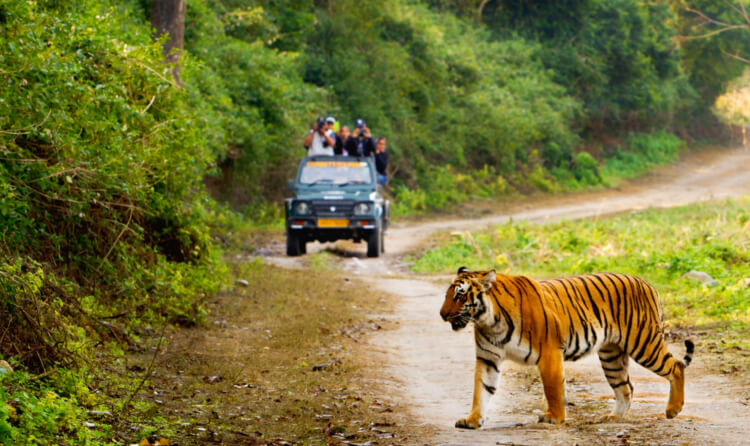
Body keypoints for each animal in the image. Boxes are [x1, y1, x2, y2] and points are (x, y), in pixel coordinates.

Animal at [440, 266, 700, 426]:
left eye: (460, 296)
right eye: (448, 294)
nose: (442, 315)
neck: (489, 320)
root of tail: (648, 284)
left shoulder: (549, 353)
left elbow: (553, 389)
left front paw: (554, 418)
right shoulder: (488, 358)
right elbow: (481, 390)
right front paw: (472, 420)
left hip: (643, 343)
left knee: (676, 366)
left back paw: (673, 409)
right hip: (612, 356)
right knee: (626, 387)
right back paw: (613, 418)